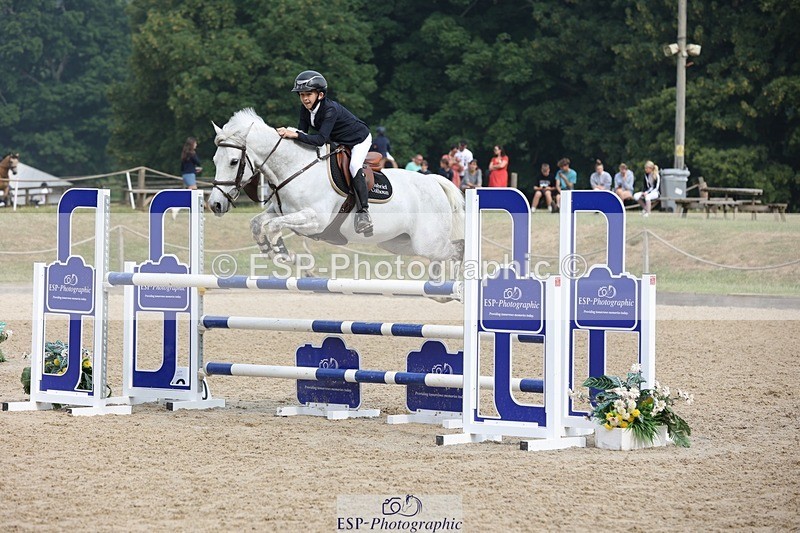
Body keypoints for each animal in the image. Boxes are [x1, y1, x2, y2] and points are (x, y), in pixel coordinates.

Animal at [208, 109, 465, 267]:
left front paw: (282, 253)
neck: (296, 167)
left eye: (233, 161)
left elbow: (272, 225)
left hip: (428, 242)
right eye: (214, 160)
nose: (215, 205)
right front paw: (267, 249)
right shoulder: (282, 211)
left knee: (456, 251)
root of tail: (434, 182)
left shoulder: (316, 220)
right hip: (400, 242)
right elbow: (258, 222)